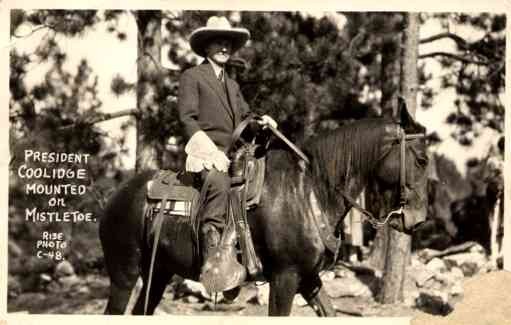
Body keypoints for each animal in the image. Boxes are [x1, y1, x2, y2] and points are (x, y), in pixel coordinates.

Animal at [99, 105, 428, 316]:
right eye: (422, 159)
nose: (418, 220)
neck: (308, 191)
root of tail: (116, 196)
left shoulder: (309, 278)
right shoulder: (285, 277)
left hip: (158, 273)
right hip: (124, 273)